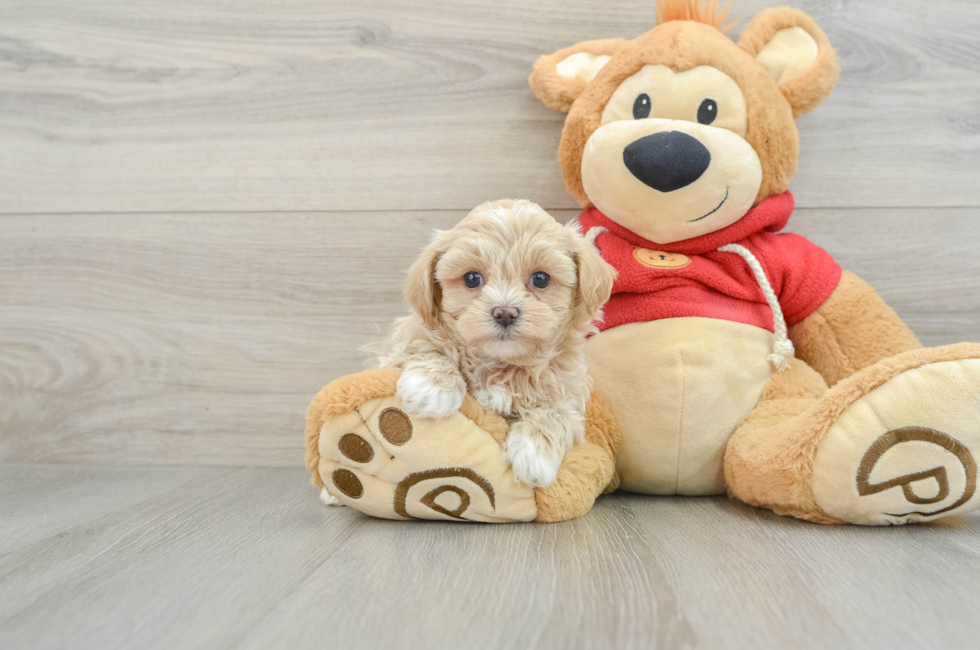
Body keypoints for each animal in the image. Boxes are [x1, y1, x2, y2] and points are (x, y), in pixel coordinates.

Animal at [372, 199, 616, 486]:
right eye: (471, 278)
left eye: (541, 279)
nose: (505, 313)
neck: (498, 364)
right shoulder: (402, 342)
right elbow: (425, 346)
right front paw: (431, 388)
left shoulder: (569, 394)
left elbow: (558, 415)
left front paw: (535, 456)